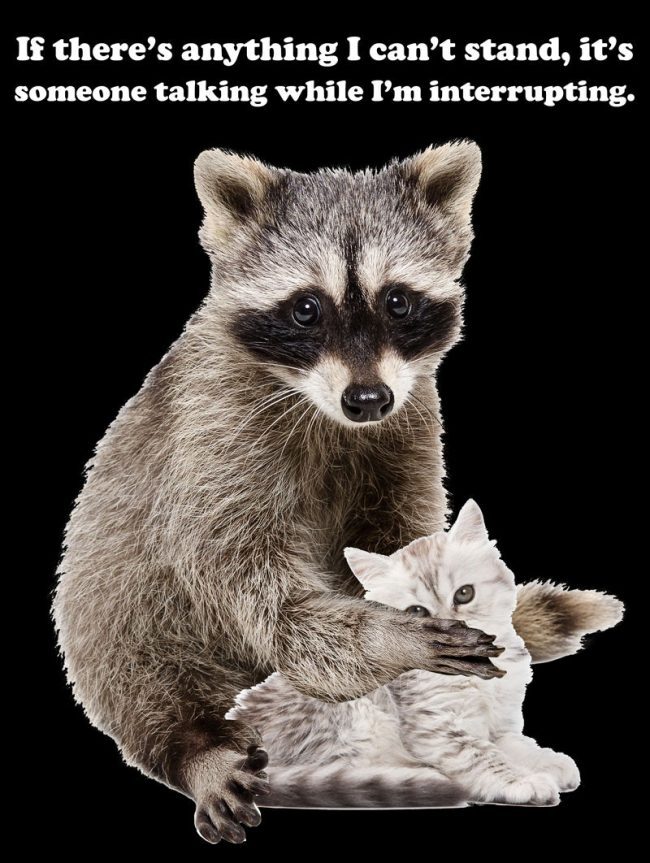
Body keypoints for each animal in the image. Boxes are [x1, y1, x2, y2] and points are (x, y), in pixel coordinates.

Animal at [52, 143, 619, 844]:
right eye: (306, 308)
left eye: (398, 302)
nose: (368, 399)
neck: (326, 411)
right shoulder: (212, 436)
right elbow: (248, 578)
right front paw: (385, 639)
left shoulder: (408, 424)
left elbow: (401, 535)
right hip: (117, 615)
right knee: (147, 677)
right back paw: (195, 744)